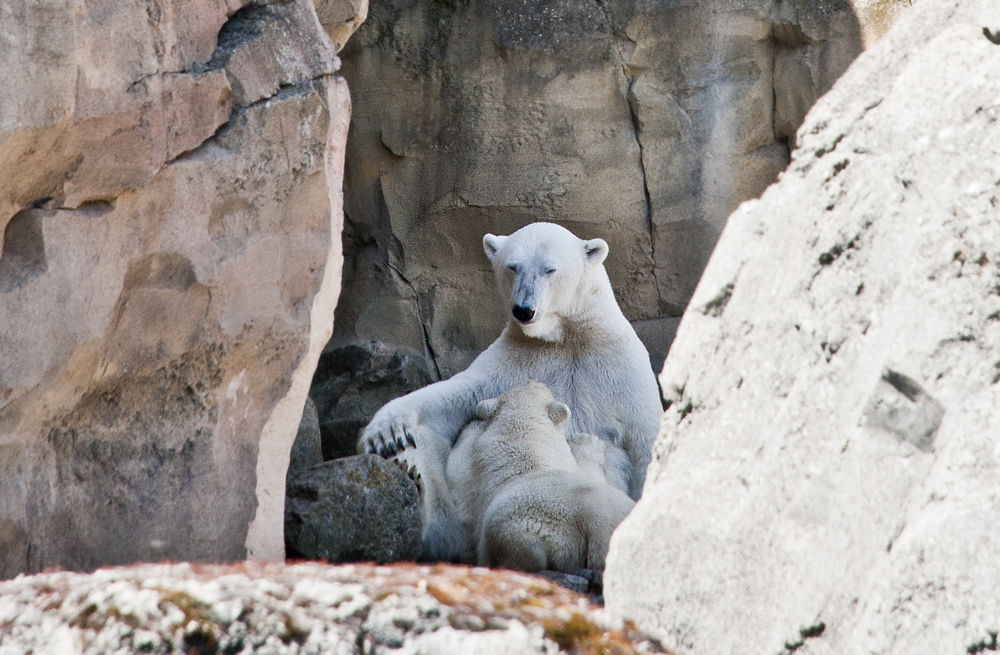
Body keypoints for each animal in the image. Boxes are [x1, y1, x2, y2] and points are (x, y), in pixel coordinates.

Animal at [360, 223, 664, 560]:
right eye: (512, 266)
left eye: (549, 269)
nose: (523, 310)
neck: (566, 337)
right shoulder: (513, 362)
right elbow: (456, 396)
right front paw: (386, 431)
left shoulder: (621, 368)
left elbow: (643, 440)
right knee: (427, 448)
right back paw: (412, 478)